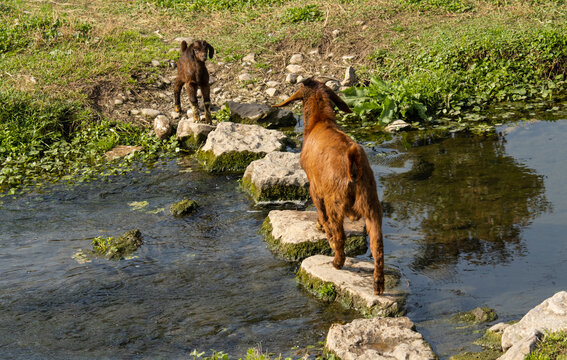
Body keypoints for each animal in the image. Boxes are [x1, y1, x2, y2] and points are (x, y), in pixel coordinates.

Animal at [274, 79, 386, 296]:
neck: (321, 121)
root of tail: (354, 167)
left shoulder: (315, 189)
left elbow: (322, 216)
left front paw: (321, 228)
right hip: (372, 206)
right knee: (377, 246)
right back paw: (378, 284)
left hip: (335, 202)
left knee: (339, 234)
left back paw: (337, 261)